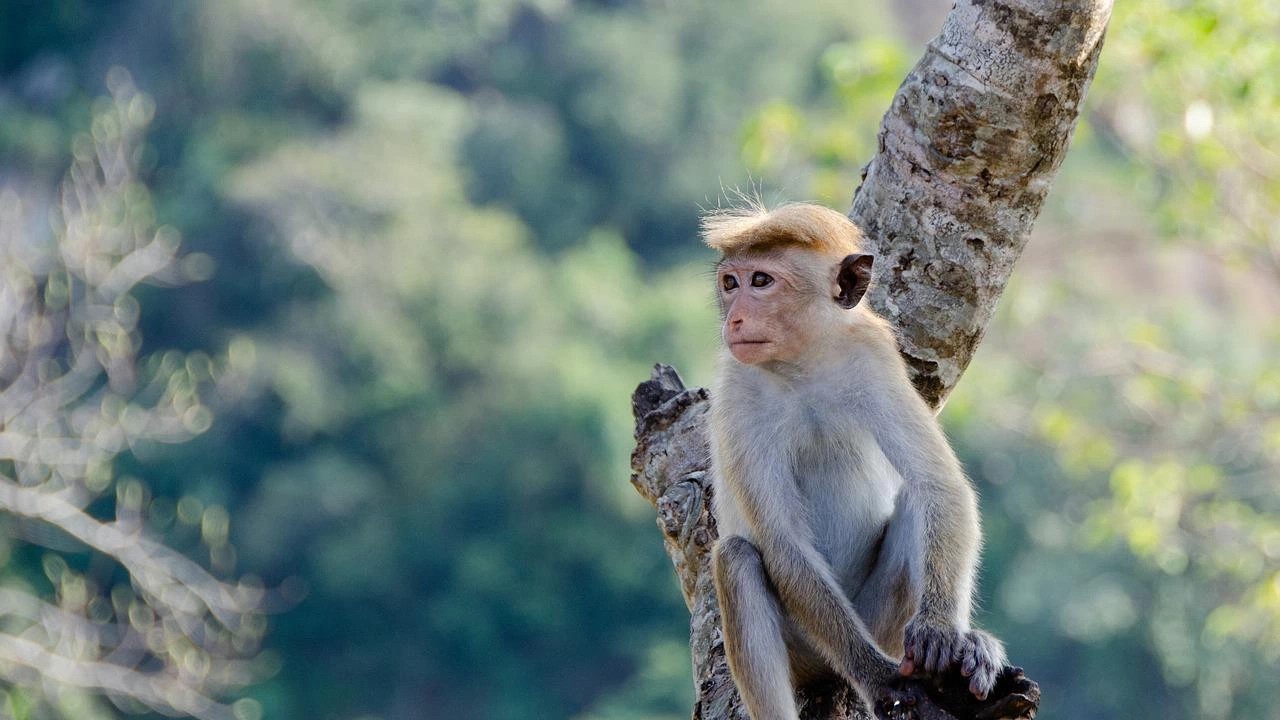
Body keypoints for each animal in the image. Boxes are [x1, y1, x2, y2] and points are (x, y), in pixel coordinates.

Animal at [706, 198, 1003, 712]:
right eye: (731, 283)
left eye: (760, 281)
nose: (734, 320)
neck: (803, 366)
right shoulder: (737, 394)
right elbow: (784, 543)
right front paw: (877, 678)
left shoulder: (873, 357)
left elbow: (939, 485)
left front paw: (944, 633)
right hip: (807, 648)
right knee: (737, 560)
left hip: (881, 623)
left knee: (916, 500)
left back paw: (968, 646)